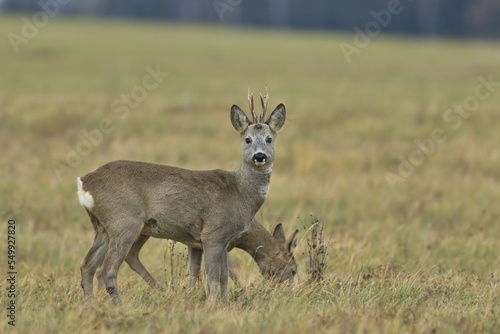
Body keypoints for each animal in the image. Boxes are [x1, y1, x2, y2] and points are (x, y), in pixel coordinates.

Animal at [79, 87, 288, 306]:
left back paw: (89, 304)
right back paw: (120, 306)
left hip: (102, 227)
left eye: (269, 139)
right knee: (107, 269)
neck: (240, 194)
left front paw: (223, 305)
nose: (259, 156)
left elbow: (223, 278)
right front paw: (211, 307)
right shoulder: (213, 232)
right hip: (124, 222)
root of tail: (85, 181)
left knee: (87, 265)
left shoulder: (223, 240)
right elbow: (213, 278)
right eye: (247, 139)